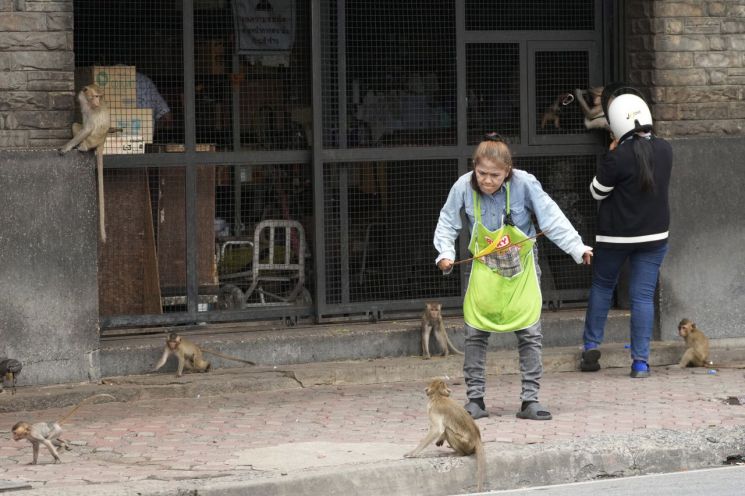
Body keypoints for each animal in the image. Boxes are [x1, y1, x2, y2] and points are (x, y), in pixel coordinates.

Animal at [58, 85, 112, 244]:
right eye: (96, 96)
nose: (97, 102)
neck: (89, 103)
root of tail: (102, 143)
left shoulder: (90, 110)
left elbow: (87, 128)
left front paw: (66, 147)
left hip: (91, 140)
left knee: (80, 129)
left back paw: (82, 147)